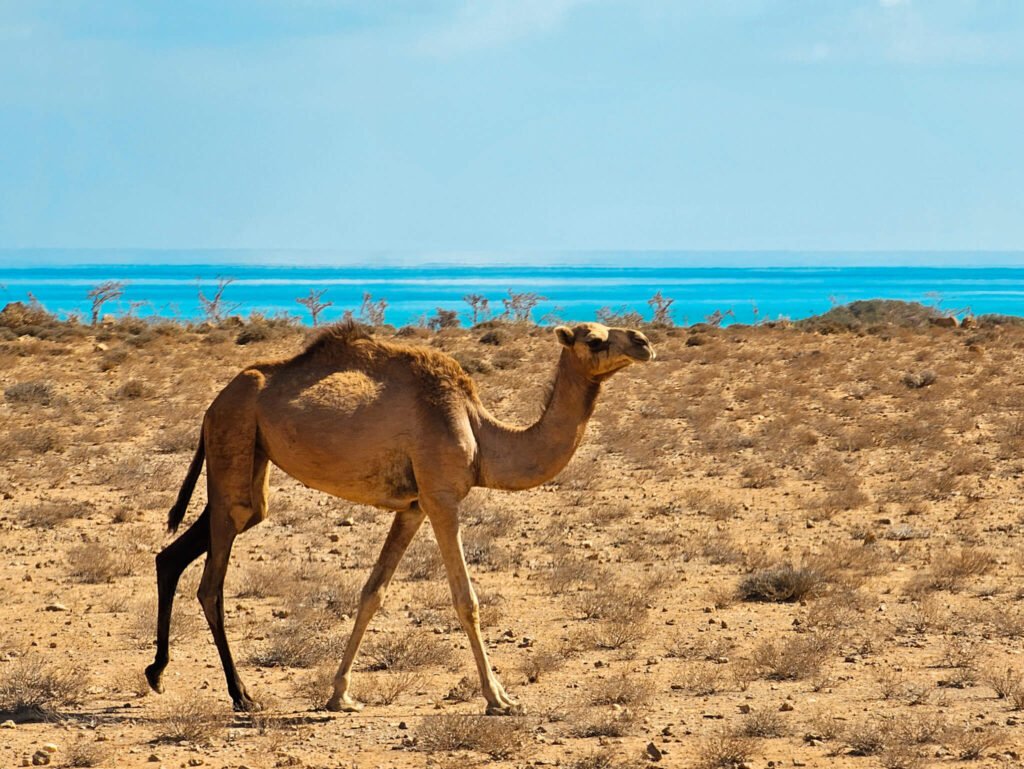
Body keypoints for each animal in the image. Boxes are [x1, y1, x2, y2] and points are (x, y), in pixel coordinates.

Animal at [145, 320, 655, 715]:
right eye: (594, 339)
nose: (643, 341)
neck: (481, 435)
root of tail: (214, 403)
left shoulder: (412, 508)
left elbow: (373, 592)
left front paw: (340, 695)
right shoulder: (442, 498)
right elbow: (466, 601)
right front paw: (499, 698)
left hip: (250, 467)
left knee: (178, 552)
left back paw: (157, 672)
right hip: (233, 439)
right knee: (211, 585)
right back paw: (242, 695)